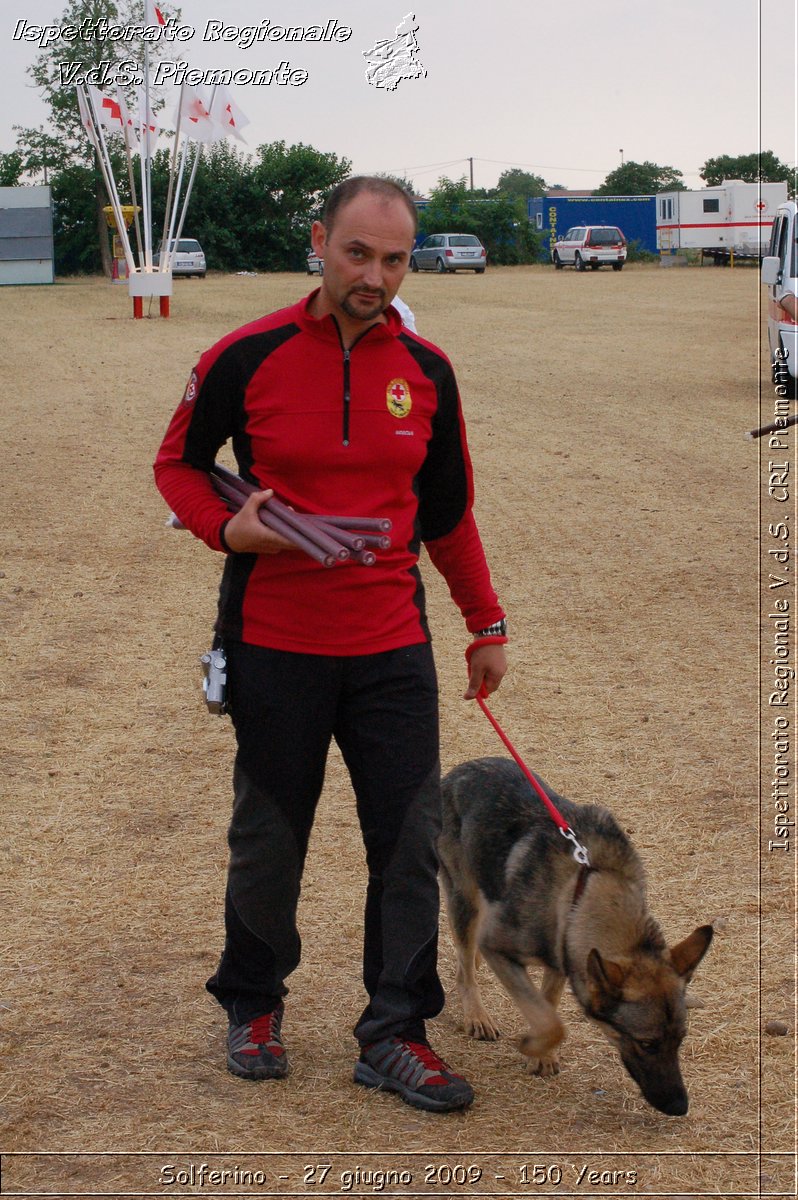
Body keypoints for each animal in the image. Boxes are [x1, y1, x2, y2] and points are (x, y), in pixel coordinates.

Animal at [439, 758, 710, 1113]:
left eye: (680, 1039)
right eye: (646, 1043)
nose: (680, 1106)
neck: (585, 888)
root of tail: (459, 770)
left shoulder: (560, 956)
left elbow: (547, 1005)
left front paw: (543, 1055)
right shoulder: (497, 947)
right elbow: (553, 1022)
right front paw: (533, 1045)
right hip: (465, 903)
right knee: (464, 967)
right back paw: (476, 1016)